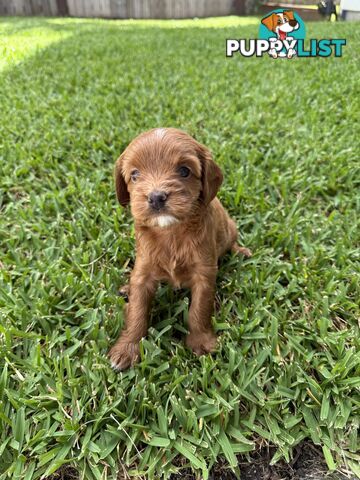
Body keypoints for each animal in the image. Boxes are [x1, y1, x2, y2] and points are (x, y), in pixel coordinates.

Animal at [109, 128, 250, 372]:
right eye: (135, 175)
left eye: (184, 170)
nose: (156, 197)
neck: (171, 232)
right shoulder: (143, 269)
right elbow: (137, 310)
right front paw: (127, 349)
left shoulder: (204, 271)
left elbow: (199, 310)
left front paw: (201, 342)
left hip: (230, 228)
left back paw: (241, 251)